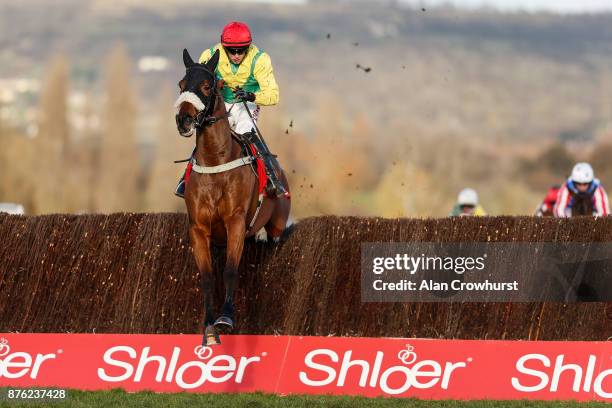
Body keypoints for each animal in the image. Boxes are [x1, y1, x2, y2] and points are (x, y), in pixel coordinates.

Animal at [173, 49, 290, 346]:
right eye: (181, 85)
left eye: (207, 86)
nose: (184, 119)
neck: (216, 160)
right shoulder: (198, 228)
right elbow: (206, 276)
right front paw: (209, 327)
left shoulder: (235, 222)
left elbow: (229, 270)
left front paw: (225, 318)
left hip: (277, 223)